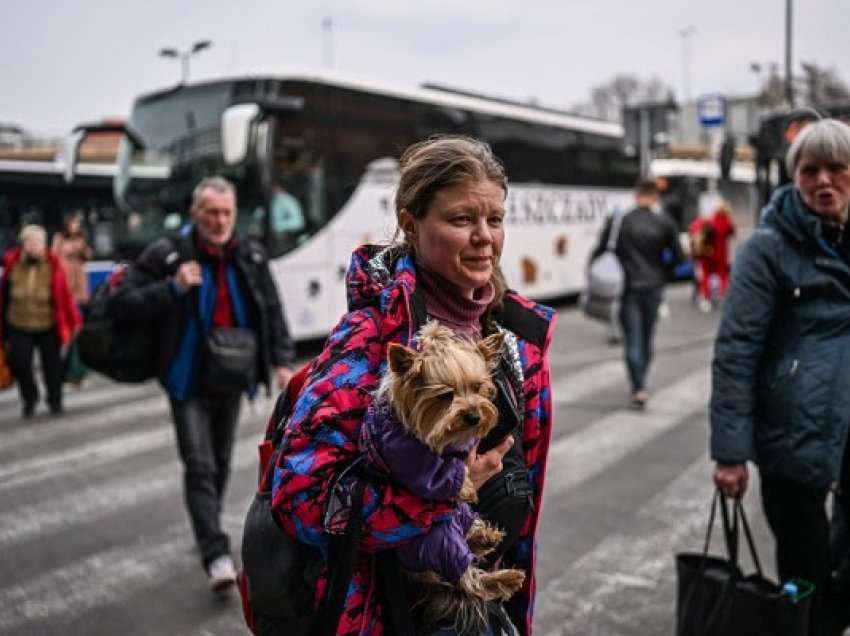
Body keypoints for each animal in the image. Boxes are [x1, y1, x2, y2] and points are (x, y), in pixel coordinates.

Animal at [376, 322, 528, 632]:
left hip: (457, 521)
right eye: (445, 395)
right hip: (438, 543)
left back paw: (486, 536)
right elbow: (433, 472)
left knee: (469, 527)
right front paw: (465, 487)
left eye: (478, 387)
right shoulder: (403, 451)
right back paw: (505, 578)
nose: (473, 416)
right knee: (469, 580)